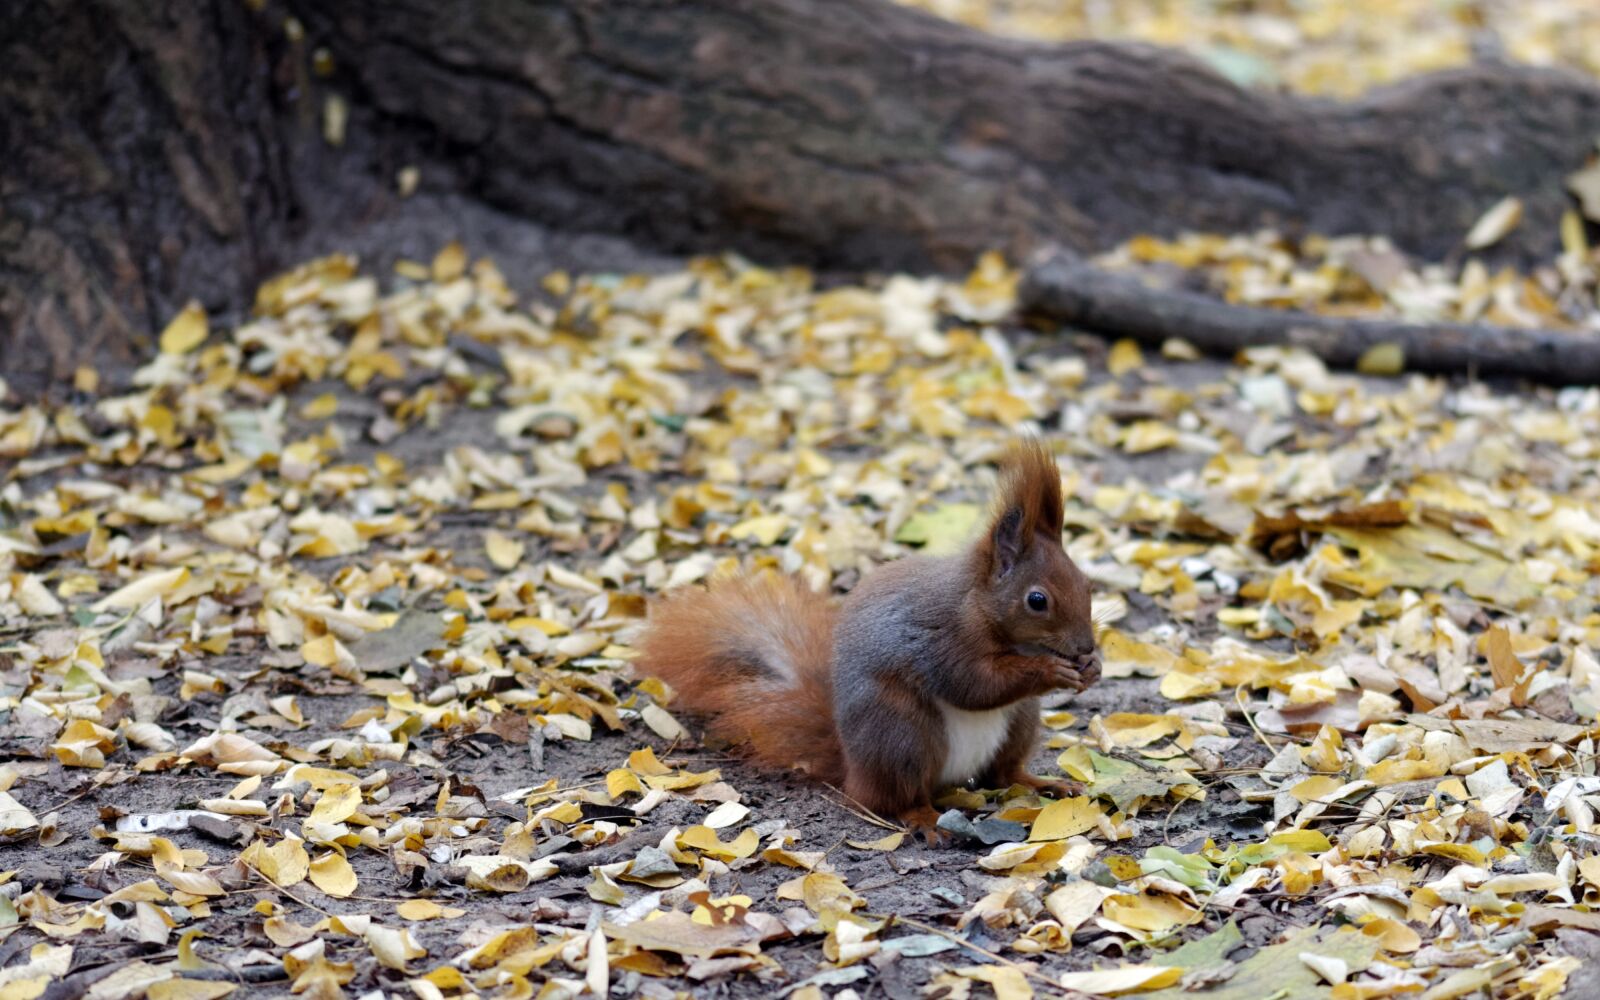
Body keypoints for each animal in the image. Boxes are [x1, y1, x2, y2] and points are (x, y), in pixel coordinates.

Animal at [637, 438, 1100, 844]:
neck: (977, 604)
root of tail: (852, 770)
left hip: (1018, 722)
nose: (1085, 647)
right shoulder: (939, 639)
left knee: (1001, 774)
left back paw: (1044, 783)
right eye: (1037, 600)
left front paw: (1092, 669)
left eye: (1086, 583)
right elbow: (973, 685)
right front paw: (1049, 670)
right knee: (897, 798)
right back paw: (925, 819)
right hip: (901, 734)